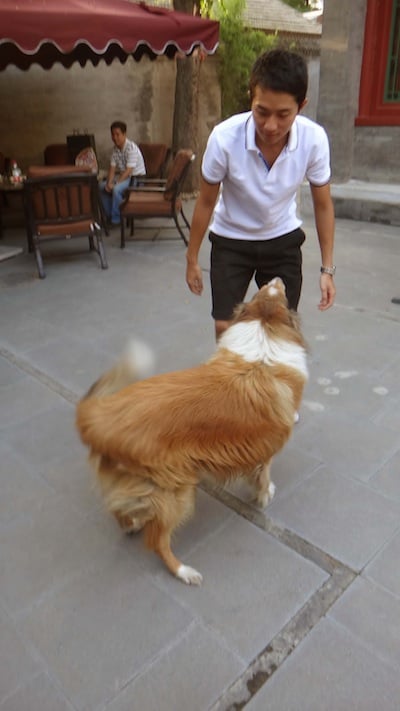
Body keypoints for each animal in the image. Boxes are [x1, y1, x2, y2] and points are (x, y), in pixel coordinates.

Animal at [76, 277, 308, 585]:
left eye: (264, 292)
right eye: (275, 293)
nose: (278, 279)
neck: (263, 330)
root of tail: (99, 417)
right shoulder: (266, 447)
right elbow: (264, 473)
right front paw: (265, 494)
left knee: (116, 507)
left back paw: (131, 525)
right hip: (176, 491)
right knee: (157, 541)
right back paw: (183, 571)